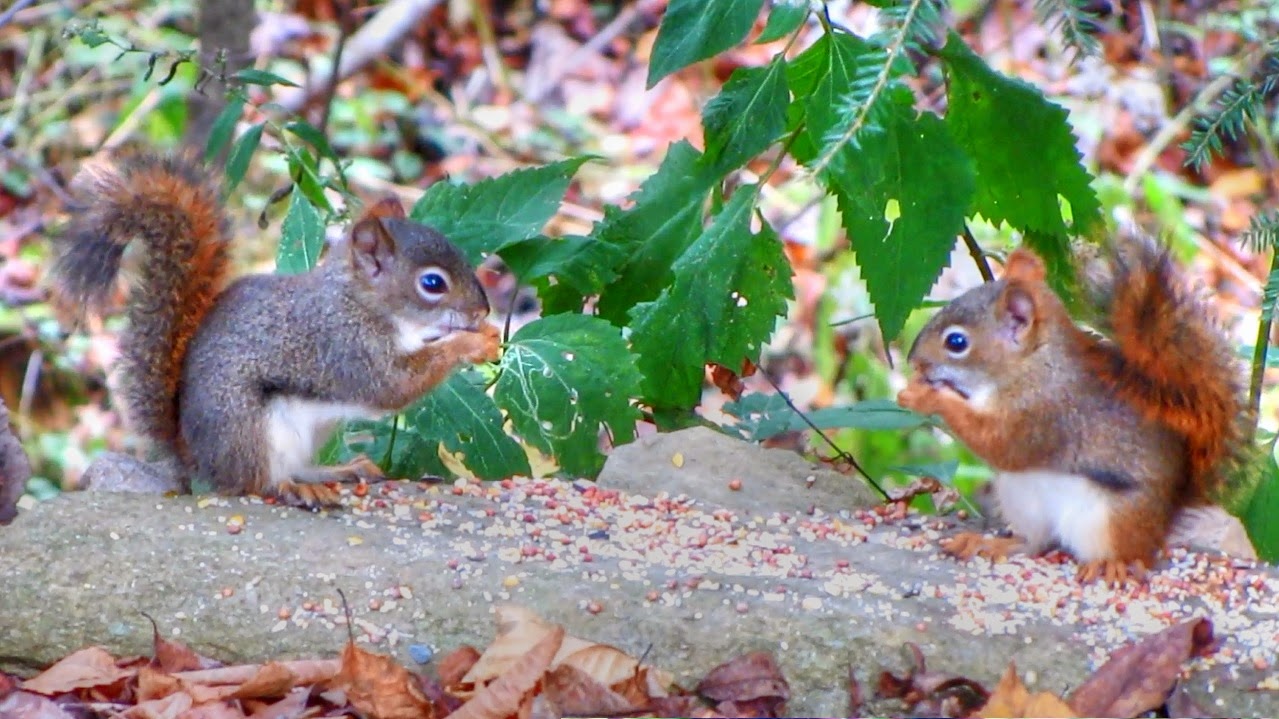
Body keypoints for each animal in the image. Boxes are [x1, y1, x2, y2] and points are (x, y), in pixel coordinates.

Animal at [47, 150, 501, 508]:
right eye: (432, 283)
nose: (483, 309)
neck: (360, 302)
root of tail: (197, 457)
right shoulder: (345, 345)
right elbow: (394, 386)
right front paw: (472, 342)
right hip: (248, 427)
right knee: (255, 482)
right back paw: (293, 489)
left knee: (295, 468)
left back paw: (338, 471)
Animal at [896, 236, 1249, 584]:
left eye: (956, 342)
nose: (913, 360)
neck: (1031, 365)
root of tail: (1162, 522)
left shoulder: (1045, 414)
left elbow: (1000, 444)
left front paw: (926, 396)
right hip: (1021, 501)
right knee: (1034, 542)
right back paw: (988, 543)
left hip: (1112, 518)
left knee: (1129, 555)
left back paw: (1110, 565)